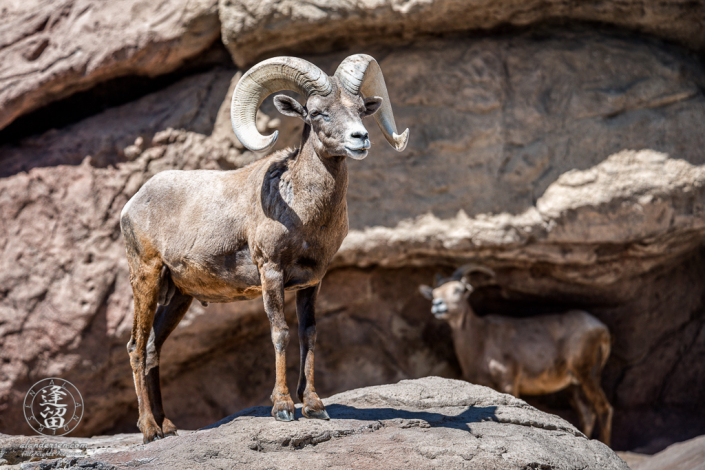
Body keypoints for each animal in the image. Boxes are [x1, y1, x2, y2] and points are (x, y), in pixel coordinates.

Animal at [119, 56, 408, 444]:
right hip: (146, 278)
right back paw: (149, 430)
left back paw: (168, 427)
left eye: (361, 109)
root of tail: (133, 203)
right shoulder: (271, 272)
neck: (301, 208)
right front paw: (283, 407)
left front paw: (314, 406)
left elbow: (308, 334)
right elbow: (280, 332)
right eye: (317, 113)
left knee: (153, 348)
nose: (360, 139)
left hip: (179, 297)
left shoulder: (312, 282)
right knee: (136, 347)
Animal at [420, 264, 612, 444]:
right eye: (435, 293)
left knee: (604, 409)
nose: (438, 305)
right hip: (574, 383)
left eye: (458, 289)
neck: (481, 339)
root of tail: (602, 329)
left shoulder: (509, 382)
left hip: (587, 373)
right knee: (587, 414)